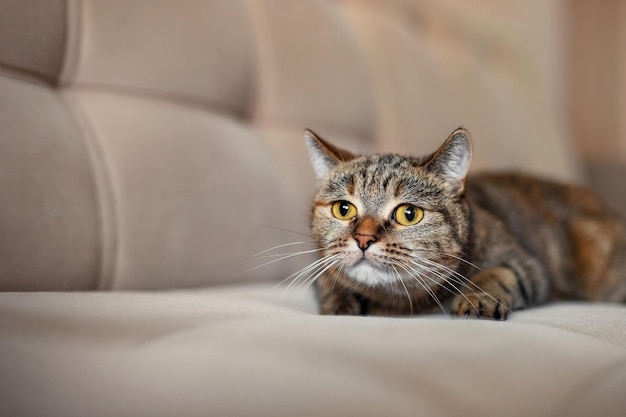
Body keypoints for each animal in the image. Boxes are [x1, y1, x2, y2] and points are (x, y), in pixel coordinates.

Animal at [304, 127, 624, 318]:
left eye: (409, 214)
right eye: (343, 209)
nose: (363, 239)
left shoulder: (525, 263)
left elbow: (499, 274)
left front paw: (476, 298)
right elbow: (329, 279)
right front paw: (339, 302)